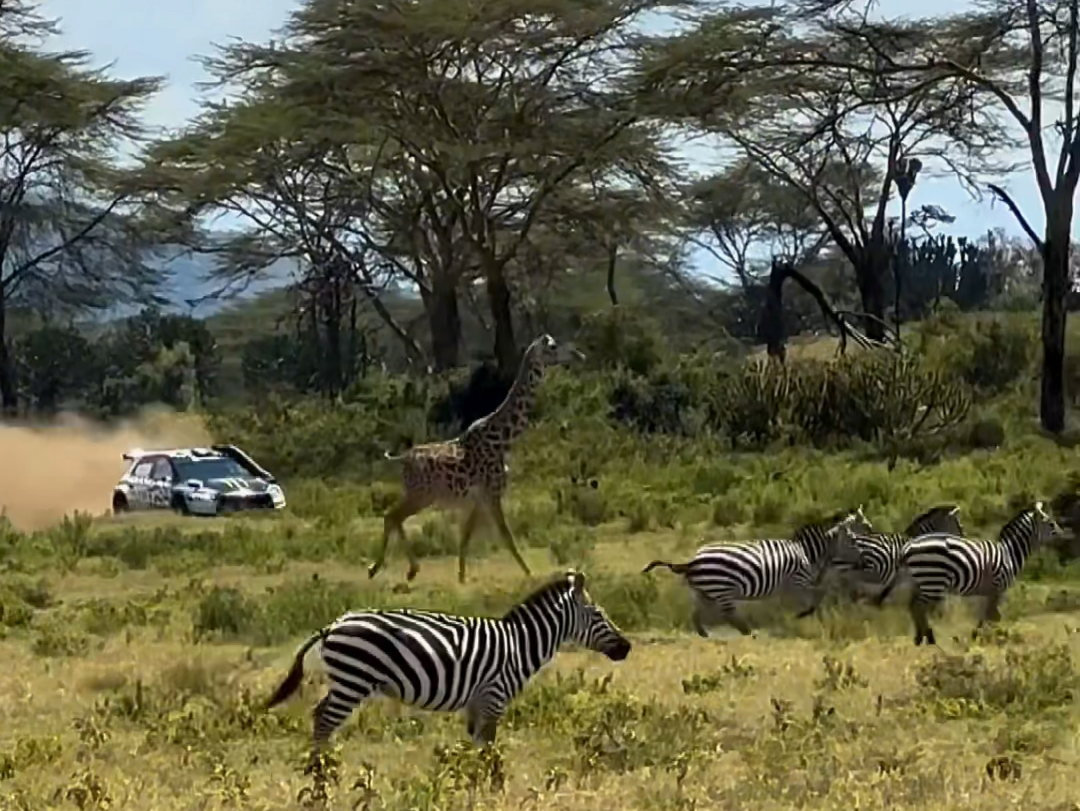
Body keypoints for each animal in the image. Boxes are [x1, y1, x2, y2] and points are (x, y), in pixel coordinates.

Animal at [263, 565, 630, 764]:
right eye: (598, 614)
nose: (626, 648)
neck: (519, 644)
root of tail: (333, 624)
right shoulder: (494, 697)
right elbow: (489, 750)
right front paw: (491, 786)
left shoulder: (476, 703)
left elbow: (474, 747)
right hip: (354, 680)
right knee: (325, 720)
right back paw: (322, 774)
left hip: (346, 681)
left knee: (319, 716)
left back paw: (323, 768)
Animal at [369, 332, 583, 587]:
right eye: (552, 347)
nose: (579, 354)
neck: (503, 439)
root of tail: (401, 459)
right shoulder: (492, 493)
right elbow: (506, 535)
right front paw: (529, 573)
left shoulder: (479, 498)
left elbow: (466, 535)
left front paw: (461, 577)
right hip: (421, 495)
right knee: (391, 516)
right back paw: (383, 569)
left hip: (418, 494)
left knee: (393, 517)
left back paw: (407, 569)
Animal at [635, 507, 872, 634]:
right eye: (854, 540)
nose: (863, 562)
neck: (806, 551)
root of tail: (693, 561)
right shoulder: (799, 582)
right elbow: (817, 595)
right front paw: (803, 615)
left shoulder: (786, 587)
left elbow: (786, 605)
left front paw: (786, 621)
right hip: (723, 590)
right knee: (727, 614)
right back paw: (748, 631)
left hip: (704, 591)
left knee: (698, 614)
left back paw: (707, 633)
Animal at [898, 501, 1058, 647]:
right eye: (1051, 524)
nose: (1062, 533)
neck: (1009, 553)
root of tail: (908, 547)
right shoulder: (998, 587)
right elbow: (994, 616)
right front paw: (997, 636)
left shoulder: (988, 592)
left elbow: (985, 616)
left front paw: (977, 635)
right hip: (932, 580)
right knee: (917, 606)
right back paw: (926, 638)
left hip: (923, 582)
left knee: (914, 606)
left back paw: (920, 638)